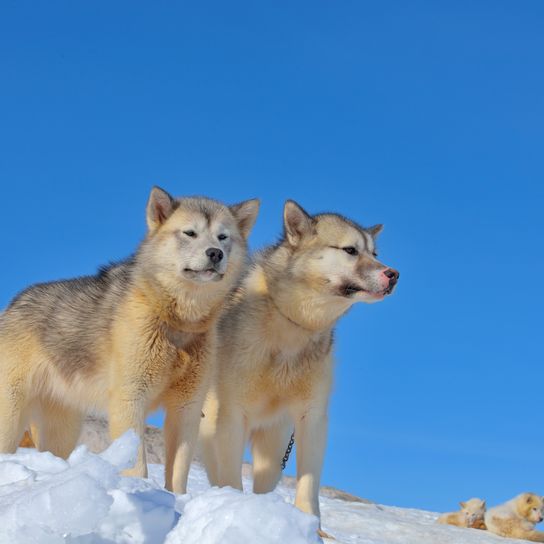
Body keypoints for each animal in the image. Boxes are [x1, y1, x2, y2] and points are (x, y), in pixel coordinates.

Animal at [0, 185, 260, 496]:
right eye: (190, 233)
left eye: (223, 237)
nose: (215, 254)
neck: (177, 322)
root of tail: (12, 305)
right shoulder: (130, 399)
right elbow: (137, 465)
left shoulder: (187, 408)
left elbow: (178, 473)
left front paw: (175, 500)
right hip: (11, 418)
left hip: (63, 429)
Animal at [200, 199, 400, 532]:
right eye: (350, 250)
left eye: (375, 254)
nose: (394, 274)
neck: (293, 326)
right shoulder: (231, 416)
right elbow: (229, 477)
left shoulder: (312, 418)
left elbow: (308, 485)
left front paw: (311, 527)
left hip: (274, 447)